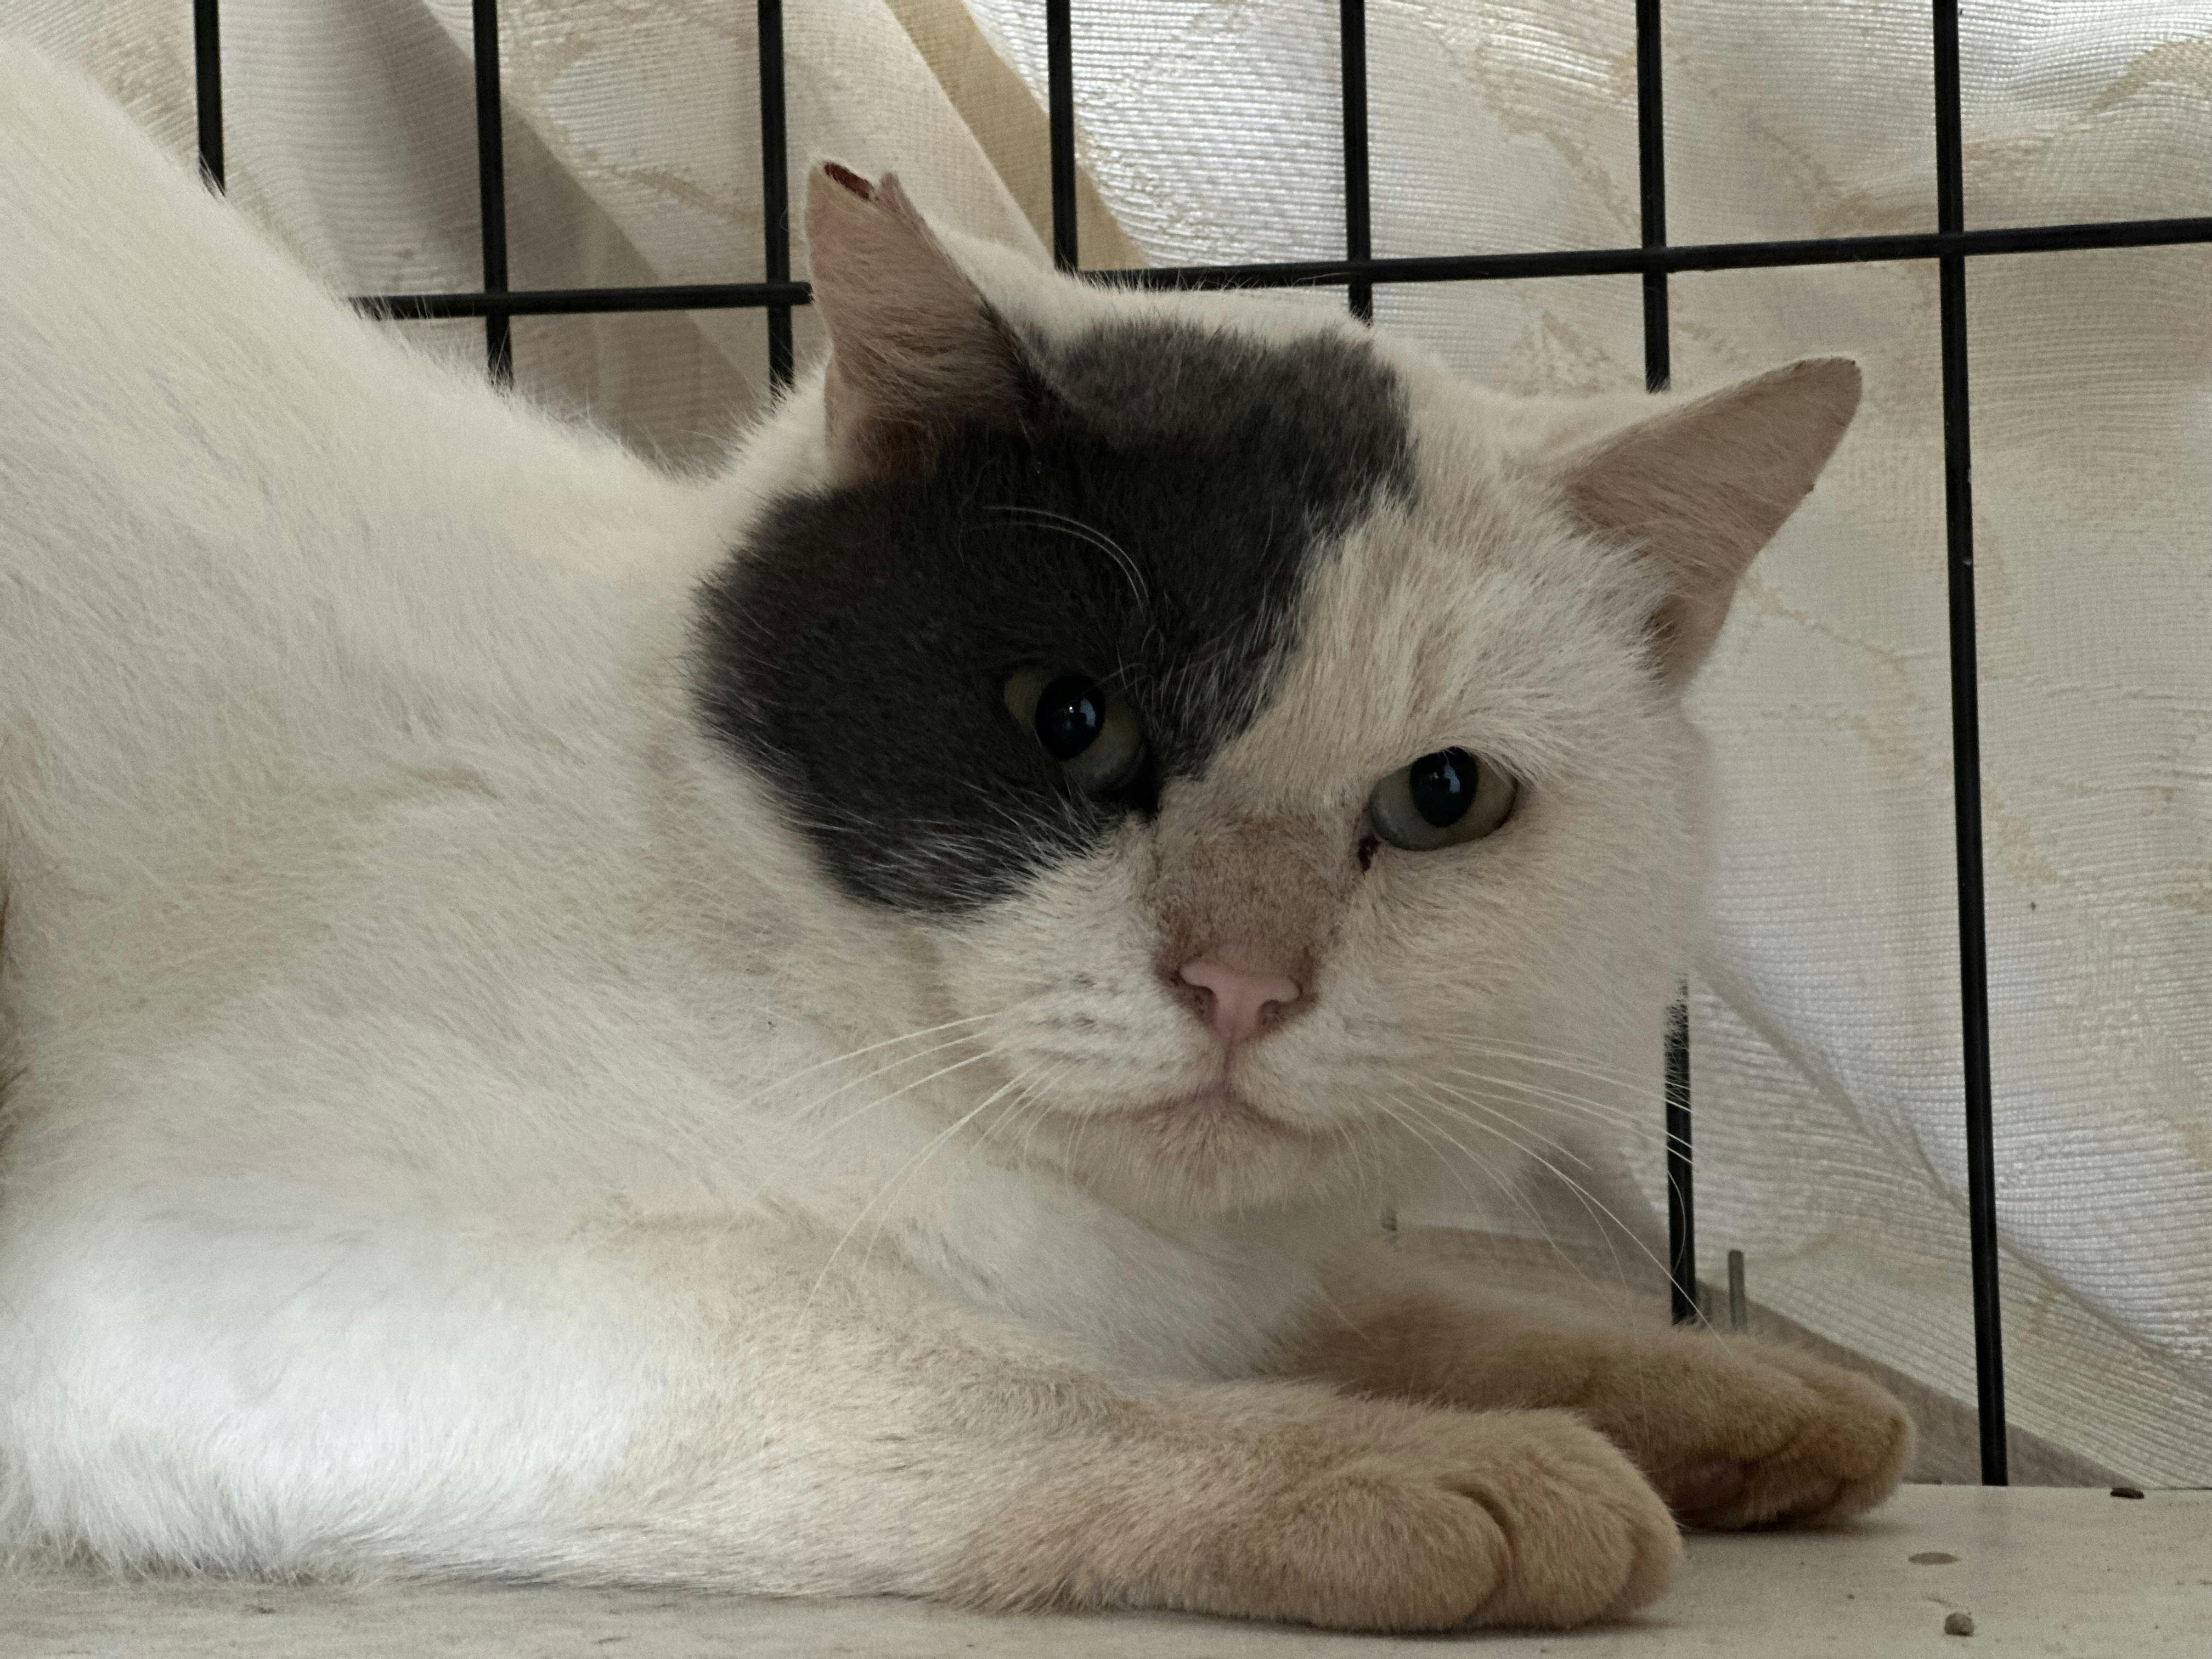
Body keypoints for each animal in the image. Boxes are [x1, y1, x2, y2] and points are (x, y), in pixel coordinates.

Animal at [0, 43, 1909, 1632]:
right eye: (1072, 721)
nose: (1242, 984)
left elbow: (1366, 1295)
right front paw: (1380, 1461)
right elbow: (968, 1379)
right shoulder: (233, 1287)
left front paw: (1700, 1378)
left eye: (1443, 802)